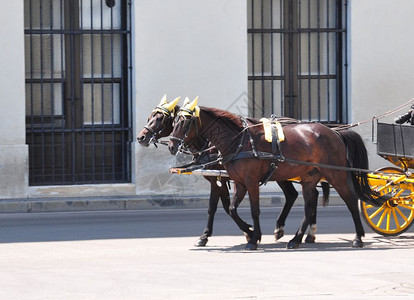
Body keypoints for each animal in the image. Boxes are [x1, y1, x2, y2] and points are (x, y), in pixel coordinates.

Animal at [137, 96, 328, 246]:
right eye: (150, 117)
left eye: (161, 119)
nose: (141, 137)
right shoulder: (222, 179)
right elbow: (219, 206)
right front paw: (209, 235)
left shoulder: (221, 180)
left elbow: (221, 207)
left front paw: (247, 232)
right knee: (298, 195)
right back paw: (299, 231)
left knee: (300, 195)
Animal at [168, 102, 382, 250]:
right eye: (173, 121)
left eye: (184, 123)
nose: (171, 145)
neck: (239, 141)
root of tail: (335, 132)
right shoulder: (239, 182)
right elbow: (232, 209)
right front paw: (250, 232)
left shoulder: (250, 182)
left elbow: (253, 210)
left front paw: (253, 238)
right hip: (309, 178)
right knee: (309, 206)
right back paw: (296, 239)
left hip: (335, 174)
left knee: (351, 201)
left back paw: (357, 237)